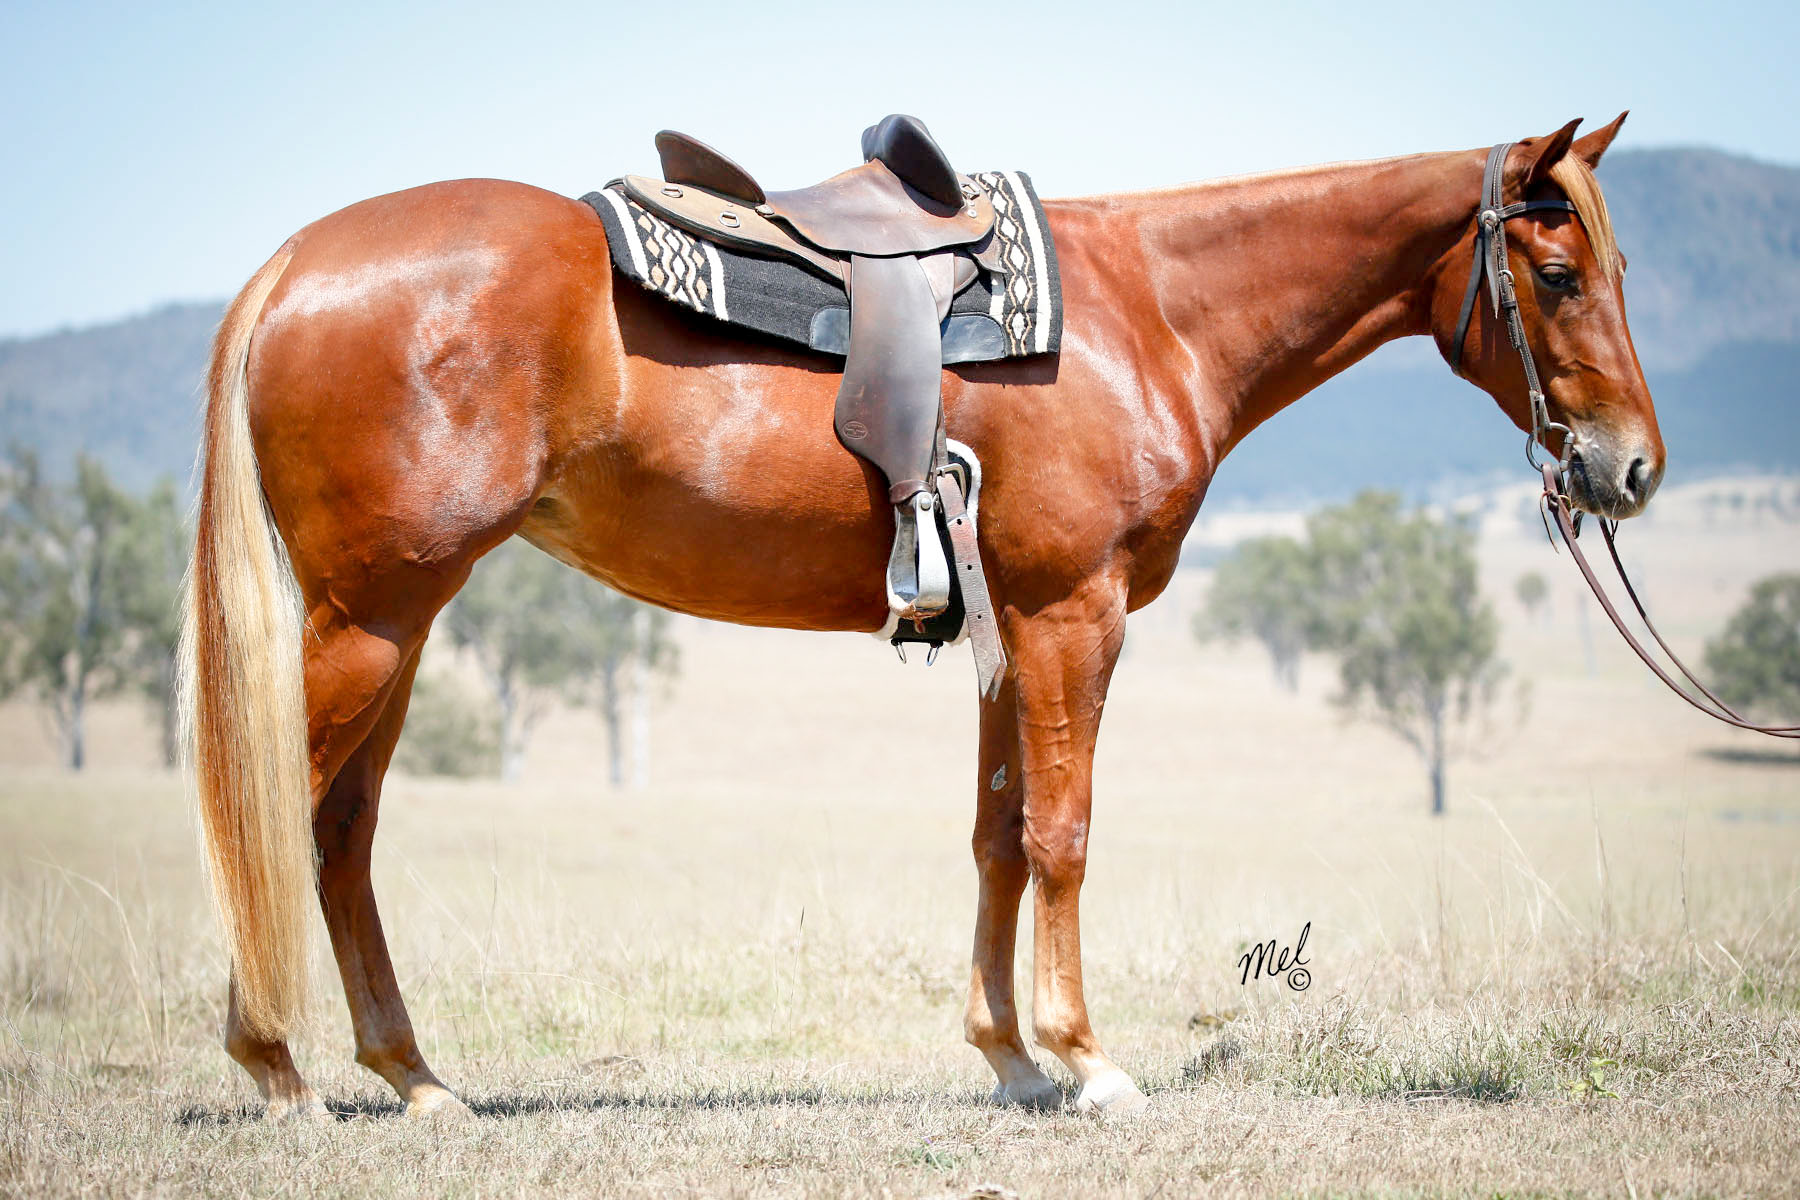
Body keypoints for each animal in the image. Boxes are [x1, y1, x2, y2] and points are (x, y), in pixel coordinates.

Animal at [182, 112, 1662, 1119]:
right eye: (1562, 275)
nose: (1632, 468)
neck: (1151, 312)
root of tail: (298, 263)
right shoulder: (1076, 616)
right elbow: (1063, 836)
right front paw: (1085, 1059)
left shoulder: (1012, 636)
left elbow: (1000, 837)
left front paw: (1010, 1056)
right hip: (370, 621)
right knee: (276, 816)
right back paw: (278, 1066)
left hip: (399, 623)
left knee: (340, 833)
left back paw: (412, 1076)